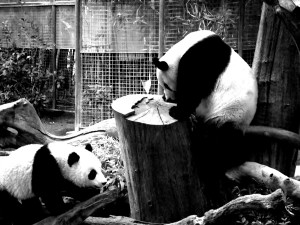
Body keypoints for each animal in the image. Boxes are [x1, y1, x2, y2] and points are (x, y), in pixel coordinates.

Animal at [152, 29, 258, 172]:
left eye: (166, 85)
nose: (167, 98)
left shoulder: (203, 59)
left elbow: (193, 89)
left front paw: (176, 111)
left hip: (229, 114)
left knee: (216, 142)